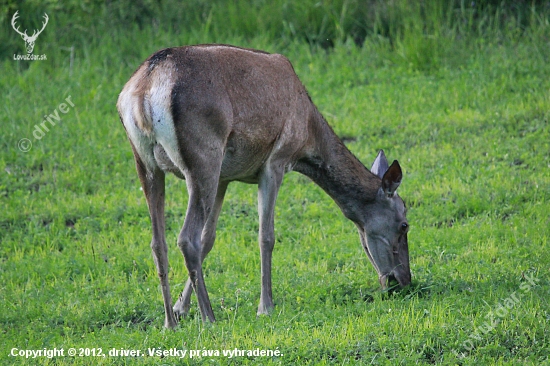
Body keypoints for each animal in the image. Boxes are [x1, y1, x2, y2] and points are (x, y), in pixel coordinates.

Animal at [119, 44, 414, 328]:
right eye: (404, 224)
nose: (404, 280)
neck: (307, 138)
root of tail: (142, 93)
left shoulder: (225, 176)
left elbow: (209, 239)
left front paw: (182, 308)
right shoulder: (276, 161)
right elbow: (266, 236)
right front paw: (265, 307)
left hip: (147, 163)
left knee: (158, 242)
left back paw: (169, 321)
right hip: (203, 158)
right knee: (185, 238)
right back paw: (209, 318)